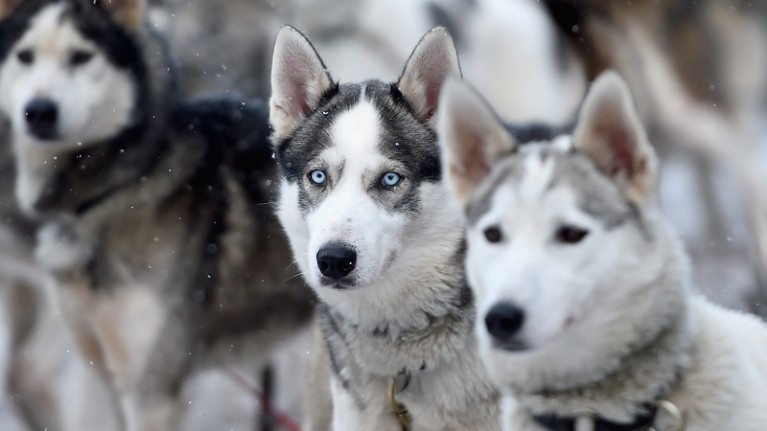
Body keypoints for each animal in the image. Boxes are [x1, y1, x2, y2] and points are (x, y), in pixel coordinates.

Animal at [0, 1, 313, 430]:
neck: (122, 184)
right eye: (24, 56)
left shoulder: (153, 394)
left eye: (81, 56)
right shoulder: (101, 372)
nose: (39, 112)